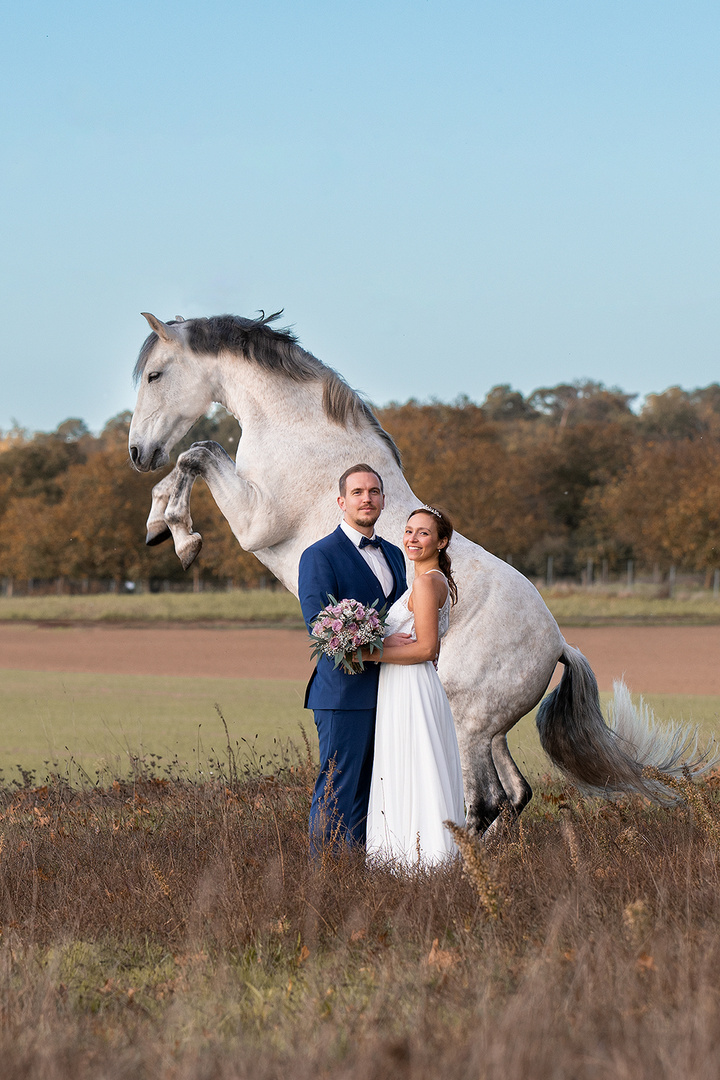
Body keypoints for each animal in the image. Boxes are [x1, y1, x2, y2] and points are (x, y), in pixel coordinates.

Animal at [129, 313, 708, 833]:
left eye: (155, 375)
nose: (137, 452)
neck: (296, 428)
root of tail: (559, 644)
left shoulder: (255, 522)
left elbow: (197, 453)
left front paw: (182, 537)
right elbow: (188, 461)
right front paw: (159, 525)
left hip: (469, 726)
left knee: (485, 801)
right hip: (490, 730)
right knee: (516, 793)